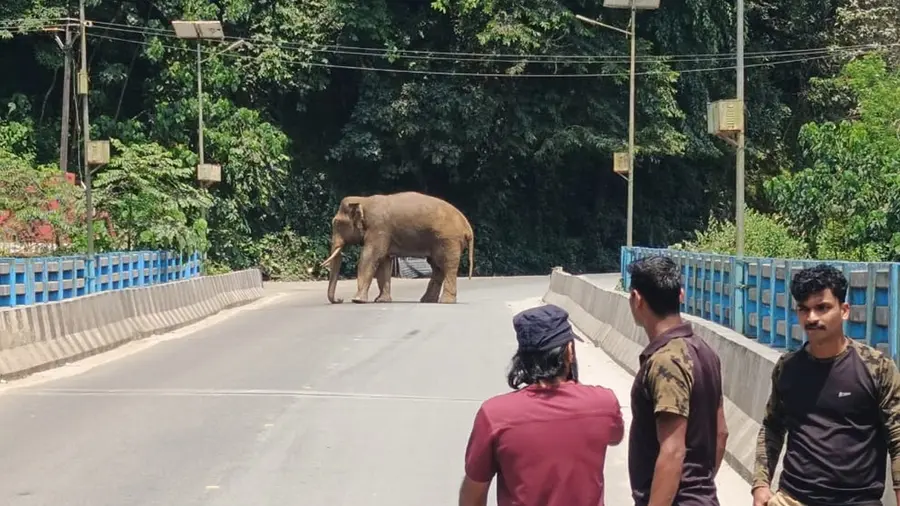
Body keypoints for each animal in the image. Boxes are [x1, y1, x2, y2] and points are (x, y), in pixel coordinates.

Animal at [319, 191, 475, 304]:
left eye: (337, 224)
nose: (340, 300)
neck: (363, 201)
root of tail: (467, 227)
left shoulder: (378, 228)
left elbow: (369, 258)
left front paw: (357, 300)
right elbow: (384, 262)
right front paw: (381, 301)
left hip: (448, 240)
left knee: (447, 265)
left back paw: (445, 302)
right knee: (437, 267)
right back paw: (427, 301)